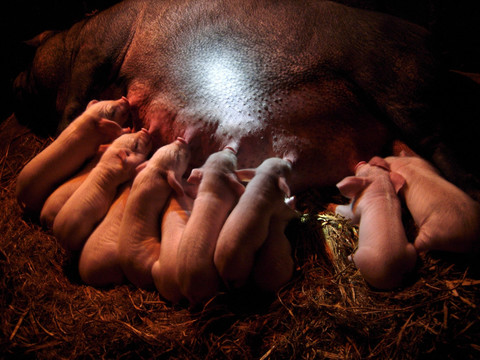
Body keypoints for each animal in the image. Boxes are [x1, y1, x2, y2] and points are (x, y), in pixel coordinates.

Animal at [14, 0, 480, 194]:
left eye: (35, 50)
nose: (15, 80)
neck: (74, 36)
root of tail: (436, 48)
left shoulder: (99, 48)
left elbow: (74, 100)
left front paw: (59, 134)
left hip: (399, 85)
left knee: (439, 142)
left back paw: (470, 188)